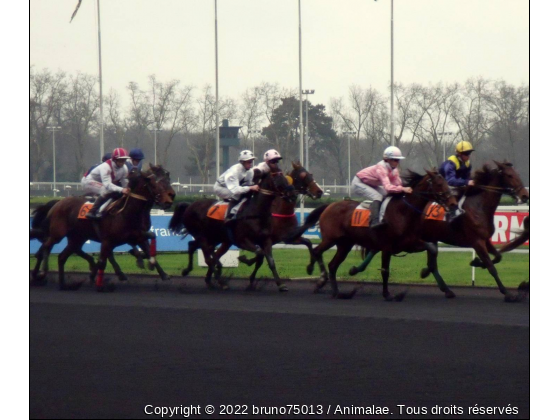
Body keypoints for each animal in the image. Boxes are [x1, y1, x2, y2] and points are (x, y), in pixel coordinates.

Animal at [31, 165, 175, 292]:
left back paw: (63, 284)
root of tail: (58, 202)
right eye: (154, 183)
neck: (127, 212)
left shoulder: (138, 236)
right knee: (46, 247)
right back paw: (40, 273)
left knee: (61, 257)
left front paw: (161, 272)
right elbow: (102, 262)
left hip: (77, 238)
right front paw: (100, 285)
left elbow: (150, 246)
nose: (170, 198)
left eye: (168, 179)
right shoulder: (107, 240)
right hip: (57, 233)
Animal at [168, 164, 294, 292]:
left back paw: (194, 273)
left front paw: (281, 284)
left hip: (214, 237)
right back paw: (221, 282)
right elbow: (259, 252)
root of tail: (190, 205)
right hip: (202, 236)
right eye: (277, 179)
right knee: (208, 259)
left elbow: (270, 260)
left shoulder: (265, 240)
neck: (255, 212)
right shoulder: (241, 240)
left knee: (194, 247)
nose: (291, 194)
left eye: (285, 178)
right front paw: (245, 259)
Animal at [290, 169, 458, 300]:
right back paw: (317, 276)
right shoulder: (387, 246)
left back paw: (337, 292)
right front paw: (387, 294)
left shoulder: (410, 243)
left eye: (446, 182)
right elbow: (385, 270)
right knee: (317, 251)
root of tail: (330, 205)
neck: (404, 212)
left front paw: (427, 273)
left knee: (333, 265)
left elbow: (432, 249)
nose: (453, 203)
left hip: (345, 244)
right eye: (439, 184)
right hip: (330, 239)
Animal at [350, 161, 528, 302]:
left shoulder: (485, 239)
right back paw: (357, 269)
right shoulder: (476, 241)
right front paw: (508, 293)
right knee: (377, 249)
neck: (478, 206)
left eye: (517, 174)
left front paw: (476, 262)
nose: (525, 195)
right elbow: (492, 266)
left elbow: (497, 257)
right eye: (510, 175)